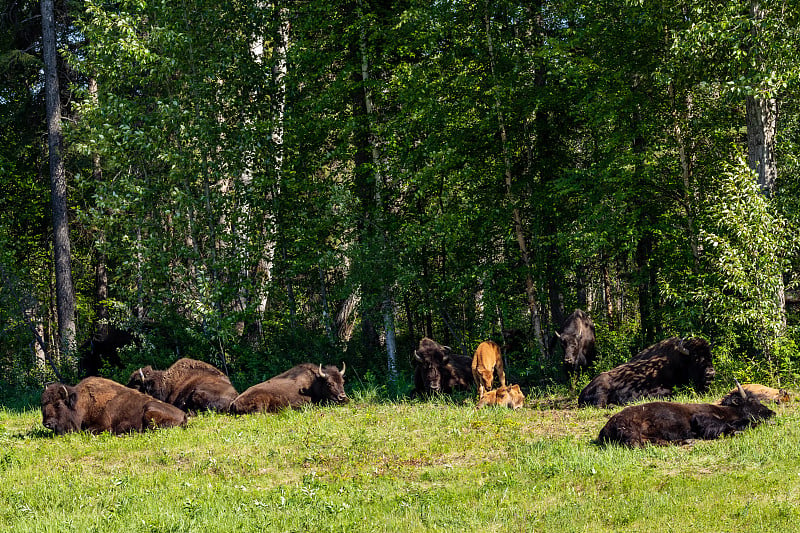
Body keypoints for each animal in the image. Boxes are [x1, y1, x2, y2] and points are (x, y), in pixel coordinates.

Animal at [41, 376, 188, 434]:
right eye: (43, 405)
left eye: (58, 404)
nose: (47, 423)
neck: (83, 403)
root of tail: (184, 415)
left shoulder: (102, 425)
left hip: (149, 409)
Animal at [580, 336, 716, 408]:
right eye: (695, 357)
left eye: (710, 356)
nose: (710, 373)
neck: (678, 362)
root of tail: (582, 392)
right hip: (602, 389)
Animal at [592, 380, 776, 446]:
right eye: (752, 401)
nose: (771, 413)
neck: (726, 410)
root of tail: (604, 429)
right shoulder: (702, 420)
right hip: (632, 433)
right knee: (638, 444)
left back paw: (687, 441)